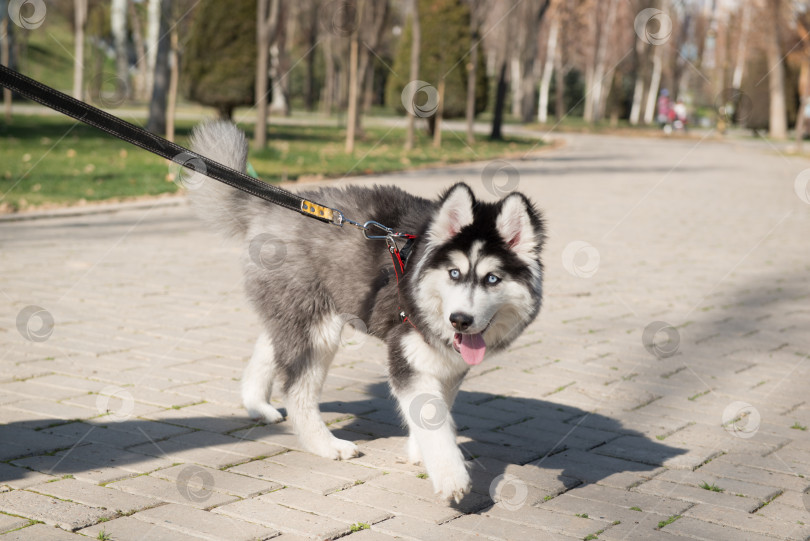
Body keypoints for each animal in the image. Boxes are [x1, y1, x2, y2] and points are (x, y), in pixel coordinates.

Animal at [189, 122, 544, 502]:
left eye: (492, 278)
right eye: (454, 273)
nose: (460, 320)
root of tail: (274, 208)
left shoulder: (449, 364)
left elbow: (437, 411)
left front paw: (420, 451)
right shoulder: (407, 355)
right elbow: (431, 416)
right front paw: (451, 477)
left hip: (295, 313)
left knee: (268, 347)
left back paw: (258, 405)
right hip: (318, 330)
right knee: (297, 391)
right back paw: (326, 444)